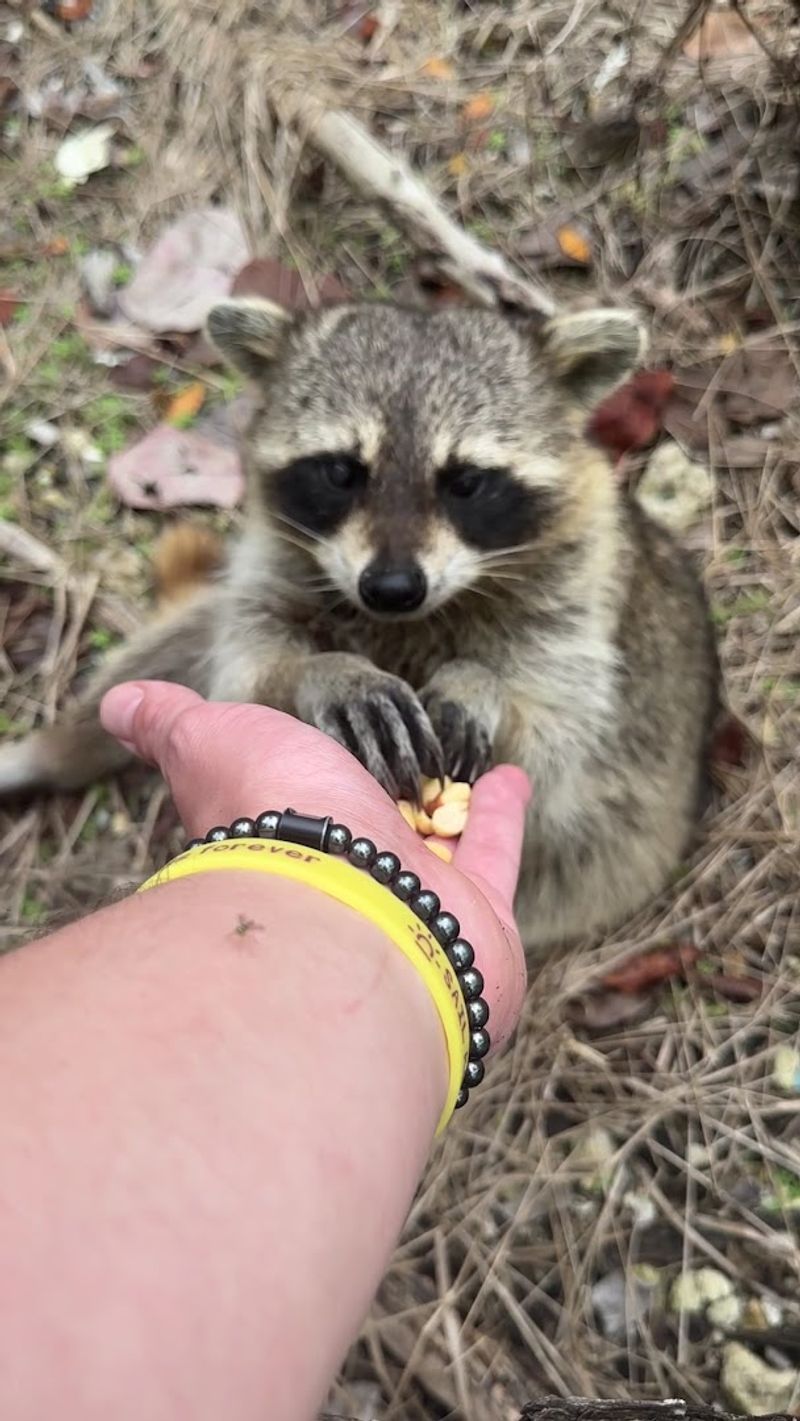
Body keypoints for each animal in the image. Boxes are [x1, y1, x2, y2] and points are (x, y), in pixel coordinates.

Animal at [0, 298, 718, 953]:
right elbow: (248, 668)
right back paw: (52, 752)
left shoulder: (579, 596)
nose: (392, 588)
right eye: (342, 471)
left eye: (467, 481)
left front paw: (480, 685)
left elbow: (560, 743)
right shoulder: (275, 566)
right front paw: (326, 671)